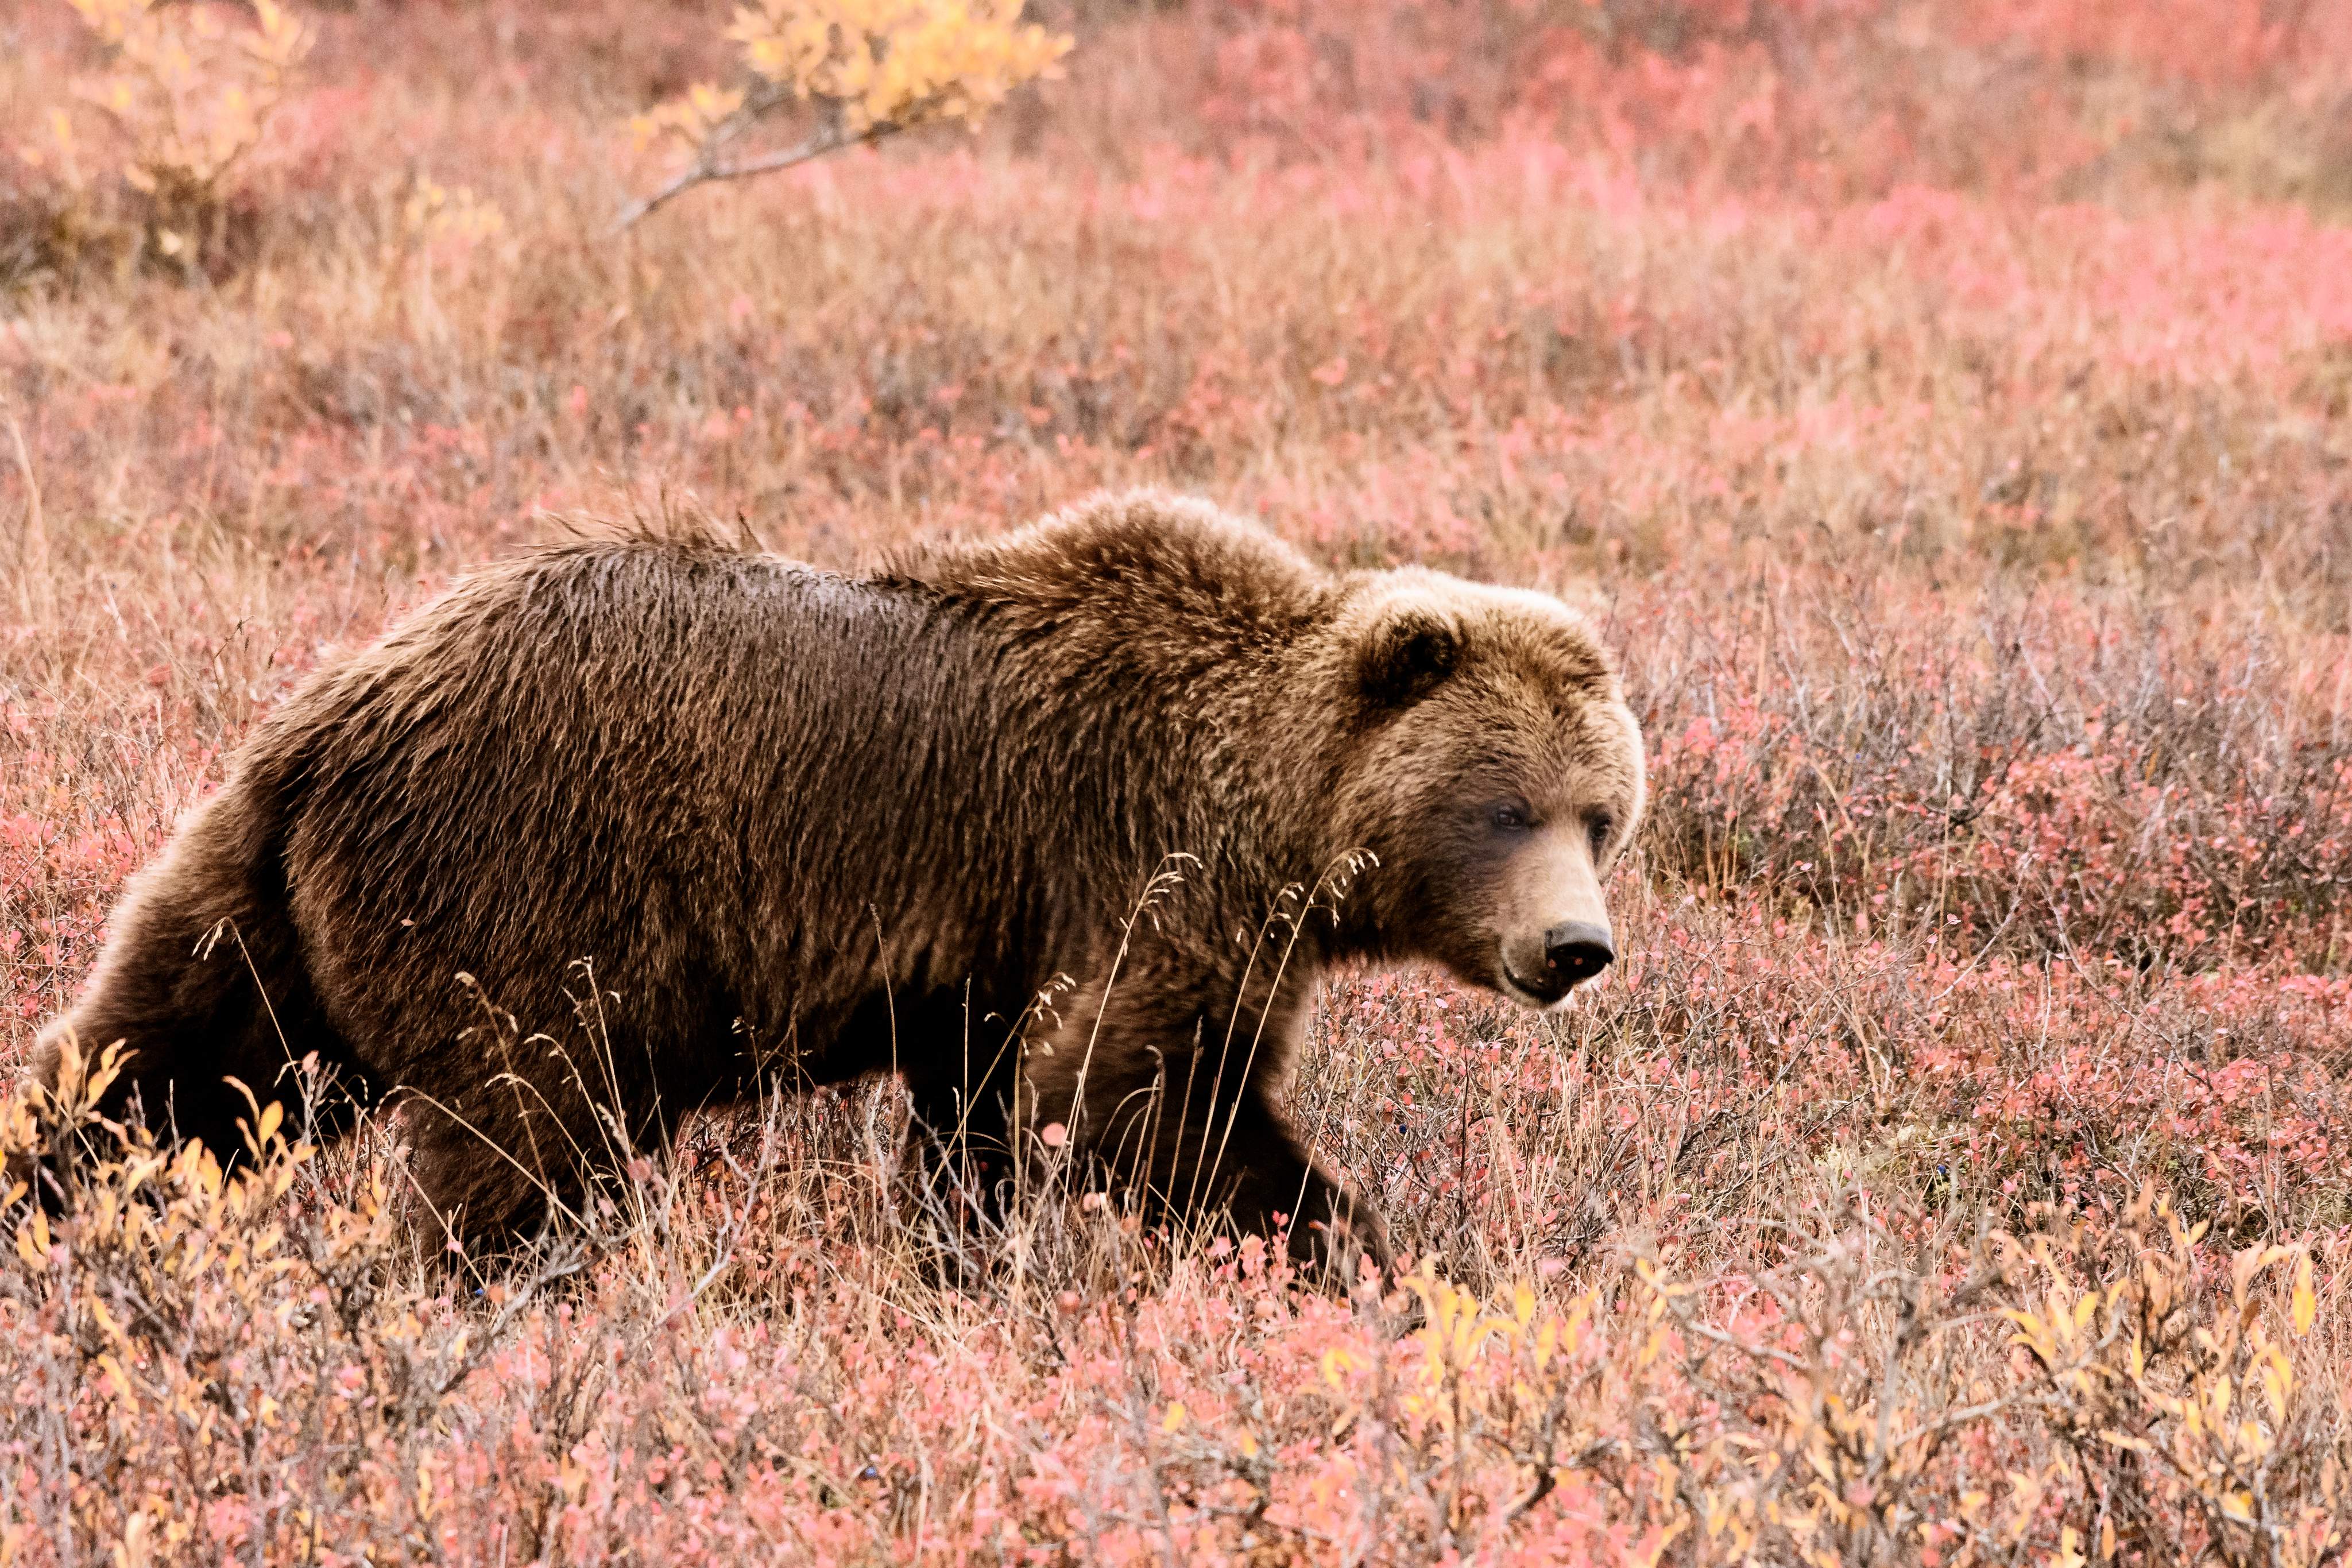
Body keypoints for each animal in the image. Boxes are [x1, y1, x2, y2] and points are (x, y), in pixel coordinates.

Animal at [15, 490, 1646, 1278]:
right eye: (1501, 807)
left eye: (1603, 812)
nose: (1576, 947)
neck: (1276, 802)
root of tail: (337, 713)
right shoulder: (1142, 871)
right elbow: (1137, 1092)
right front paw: (1356, 1258)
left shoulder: (986, 963)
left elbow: (979, 1128)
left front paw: (956, 1266)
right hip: (525, 884)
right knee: (516, 1135)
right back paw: (470, 1297)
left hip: (261, 895)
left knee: (150, 1069)